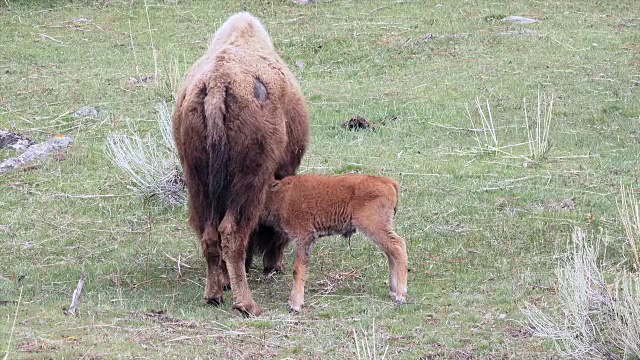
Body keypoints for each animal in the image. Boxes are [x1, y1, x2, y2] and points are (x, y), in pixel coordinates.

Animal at [172, 11, 308, 316]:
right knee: (231, 233)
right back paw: (247, 304)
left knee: (209, 235)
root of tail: (219, 82)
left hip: (197, 179)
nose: (274, 266)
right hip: (248, 180)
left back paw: (214, 294)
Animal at [262, 174, 408, 312]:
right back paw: (393, 290)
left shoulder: (303, 238)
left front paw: (295, 304)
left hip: (374, 227)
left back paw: (400, 295)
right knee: (390, 253)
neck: (280, 195)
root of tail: (388, 181)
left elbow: (297, 270)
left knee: (398, 246)